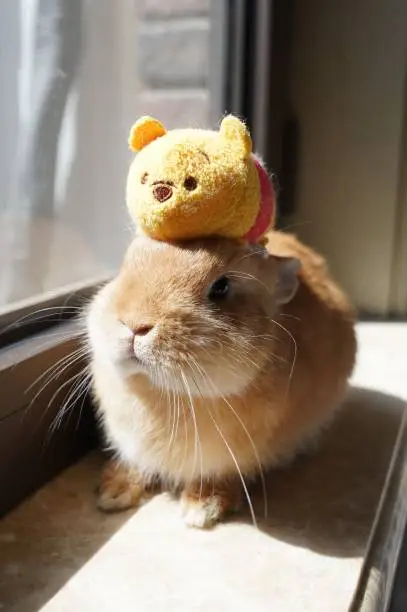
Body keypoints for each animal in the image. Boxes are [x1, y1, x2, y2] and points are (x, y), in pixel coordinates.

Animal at [87, 230, 356, 524]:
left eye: (221, 288)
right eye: (126, 267)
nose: (134, 325)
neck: (162, 391)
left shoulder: (230, 459)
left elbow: (220, 475)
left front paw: (202, 508)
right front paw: (114, 492)